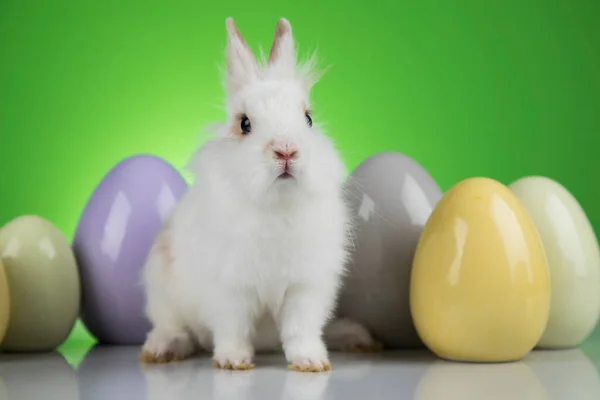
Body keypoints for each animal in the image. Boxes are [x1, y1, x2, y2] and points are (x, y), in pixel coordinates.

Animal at [139, 15, 380, 372]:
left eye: (308, 118)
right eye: (245, 124)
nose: (286, 150)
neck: (277, 205)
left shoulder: (304, 288)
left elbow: (300, 329)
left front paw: (311, 362)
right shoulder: (230, 288)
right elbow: (234, 327)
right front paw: (233, 361)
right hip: (162, 291)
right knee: (177, 328)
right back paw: (162, 349)